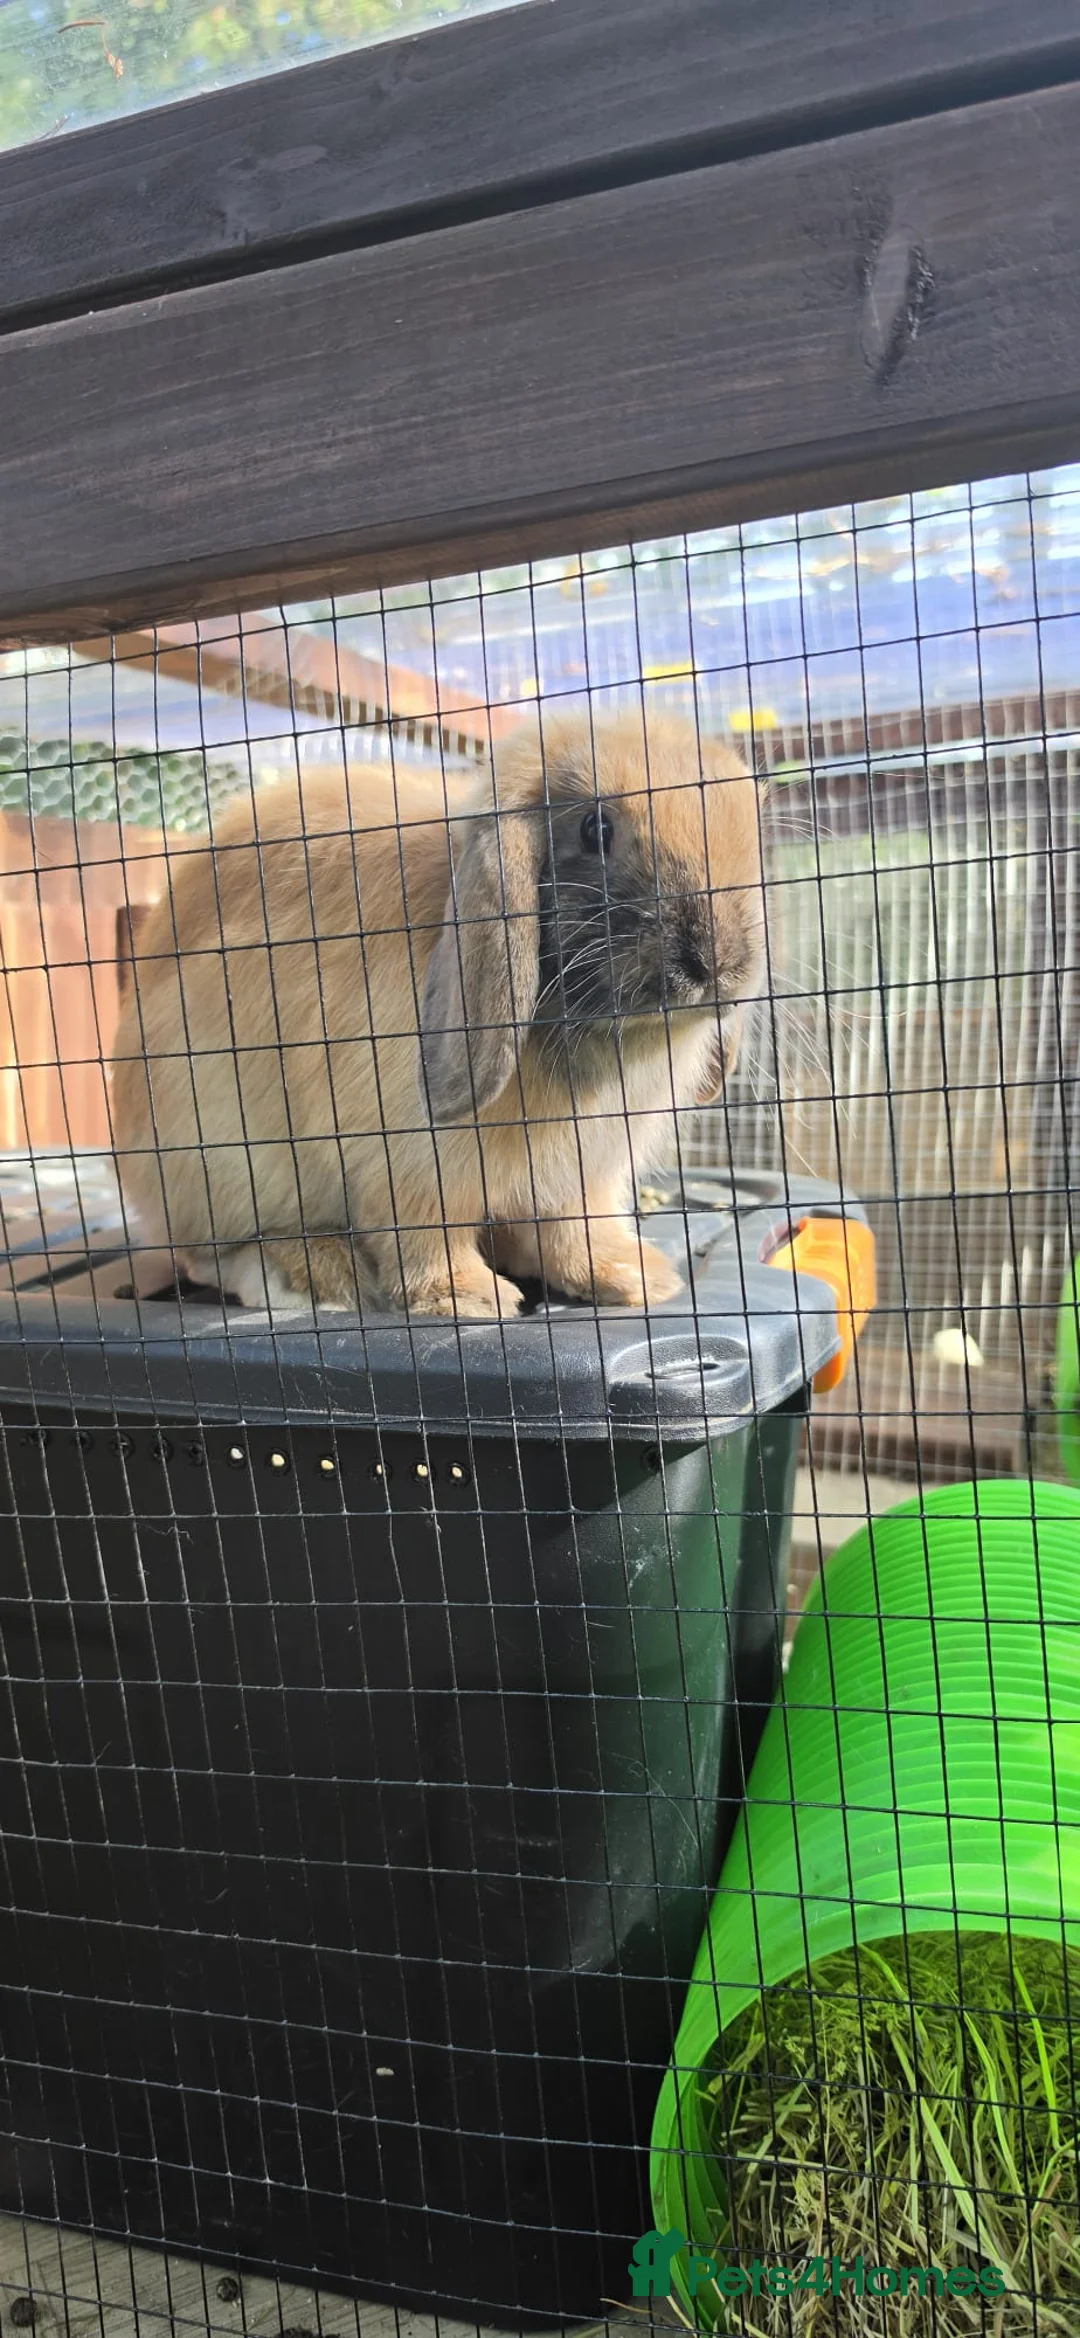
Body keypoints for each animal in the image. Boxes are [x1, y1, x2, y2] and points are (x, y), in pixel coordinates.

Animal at [111, 709, 765, 1319]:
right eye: (595, 828)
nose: (717, 965)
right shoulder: (410, 1164)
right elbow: (426, 1234)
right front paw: (468, 1299)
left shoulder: (582, 1179)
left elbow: (574, 1230)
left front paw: (637, 1280)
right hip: (218, 1155)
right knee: (215, 1254)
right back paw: (317, 1273)